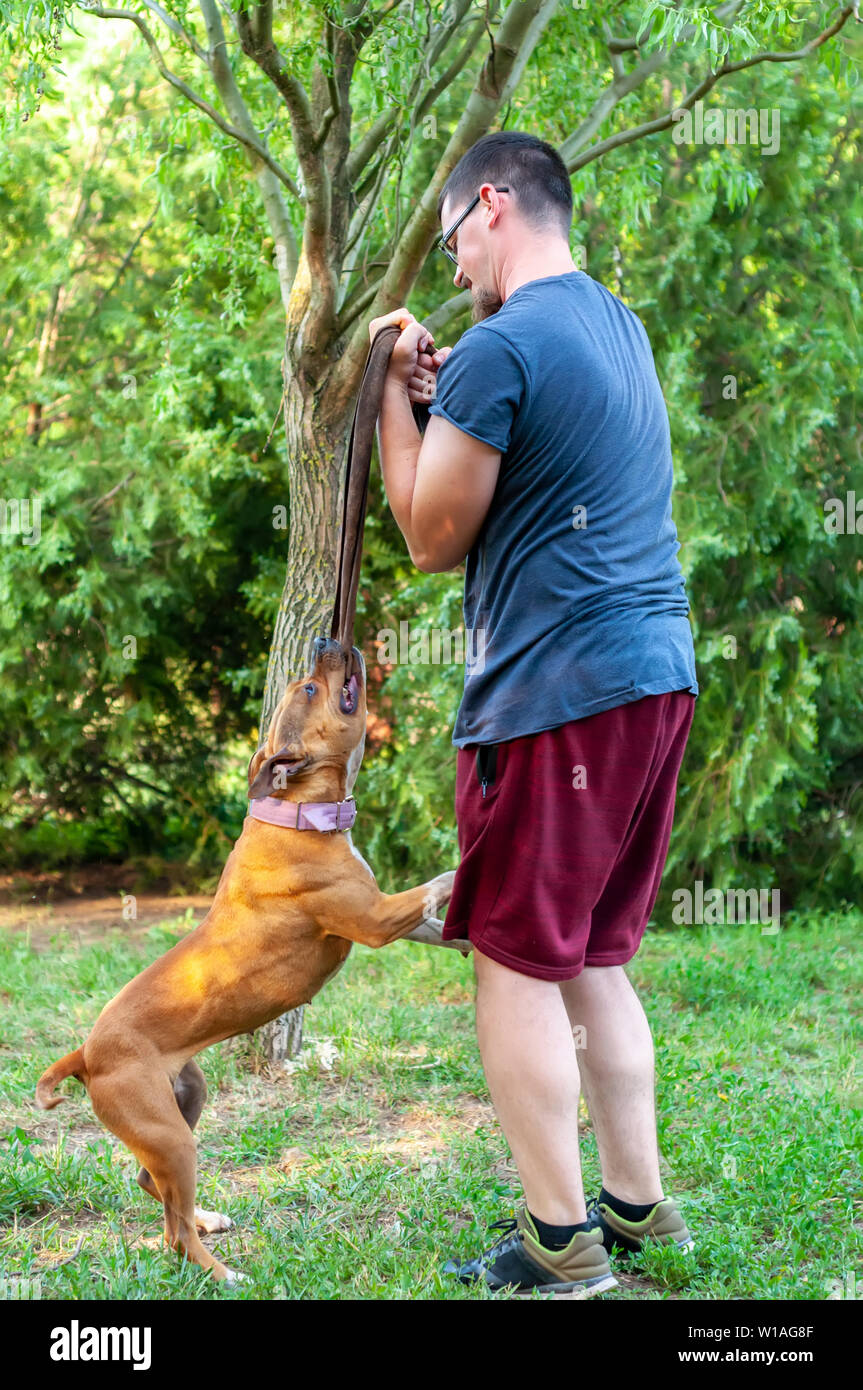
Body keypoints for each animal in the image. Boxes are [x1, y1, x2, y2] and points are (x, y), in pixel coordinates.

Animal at [37, 639, 461, 1278]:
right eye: (309, 689)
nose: (326, 642)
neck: (295, 812)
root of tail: (85, 1054)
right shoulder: (377, 918)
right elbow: (440, 880)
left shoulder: (393, 918)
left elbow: (441, 922)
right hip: (170, 1134)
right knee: (175, 1232)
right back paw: (222, 1269)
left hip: (187, 1098)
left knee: (152, 1188)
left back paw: (209, 1219)